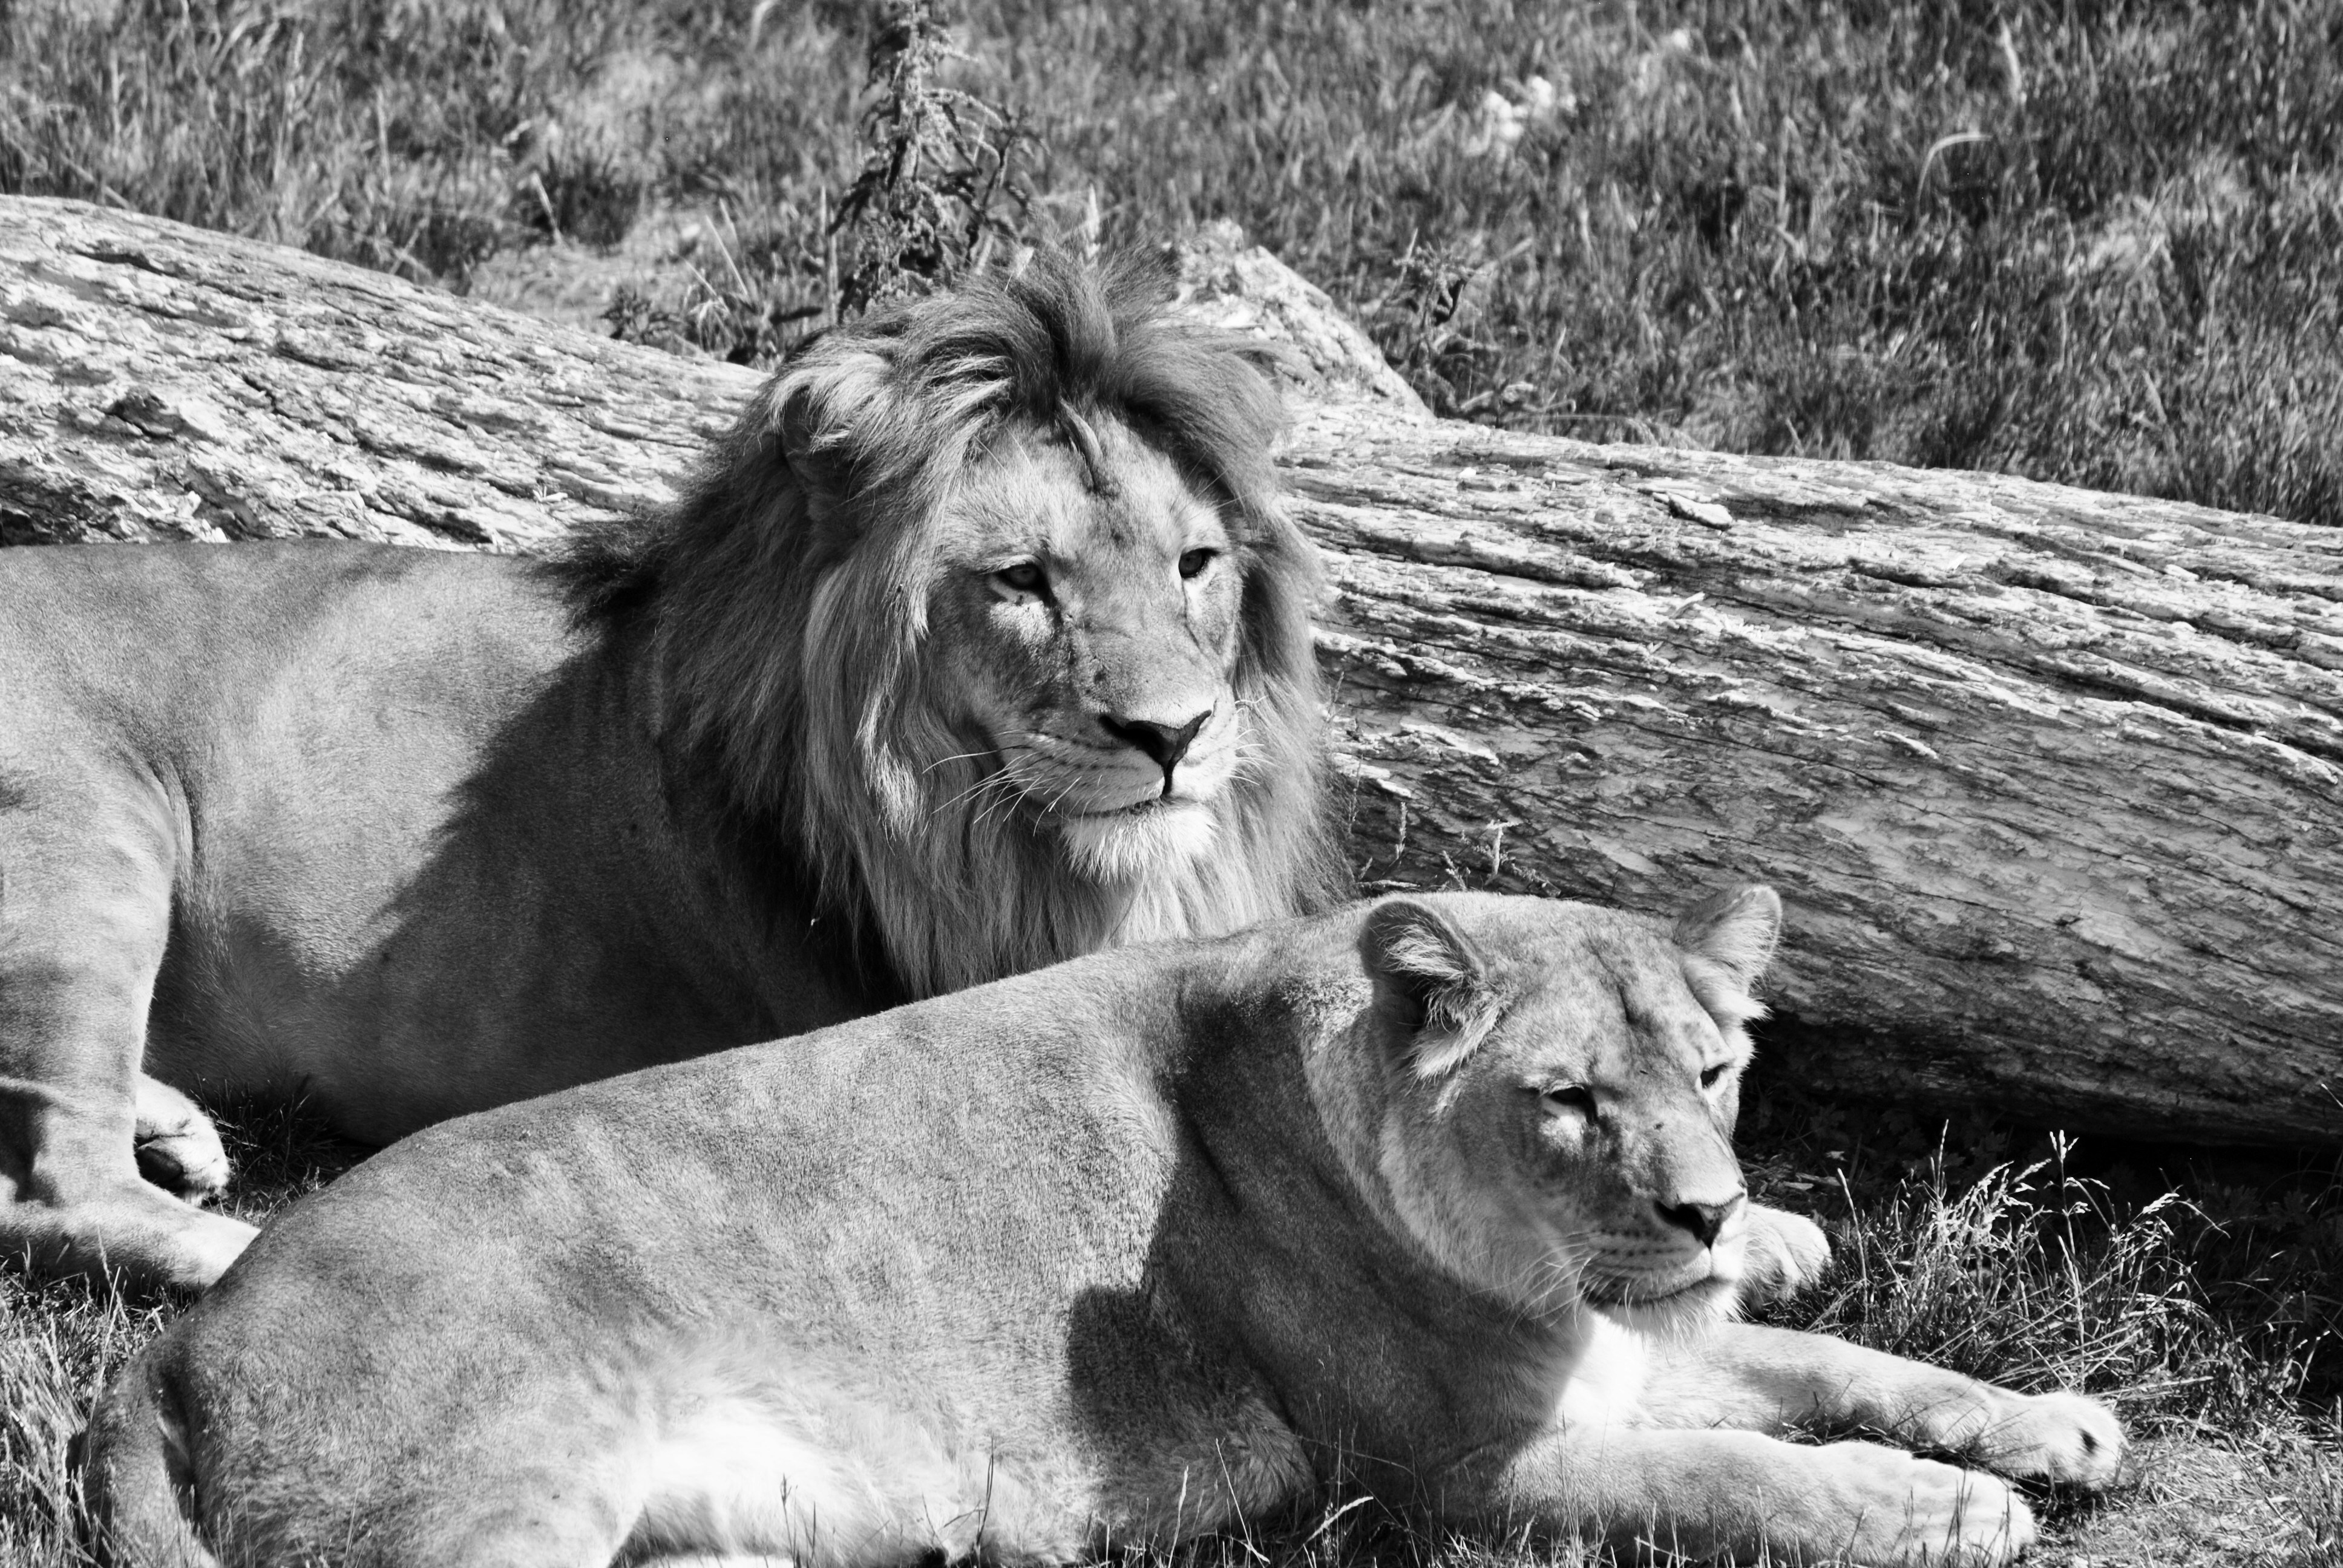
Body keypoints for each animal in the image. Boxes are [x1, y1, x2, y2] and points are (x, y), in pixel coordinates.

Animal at [0, 251, 1339, 1294]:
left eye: (1194, 565)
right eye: (1021, 579)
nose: (1174, 736)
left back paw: (175, 1126)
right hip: (87, 842)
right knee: (53, 1191)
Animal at [81, 887, 2121, 1568]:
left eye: (1714, 1070)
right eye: (1570, 1102)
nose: (1709, 1207)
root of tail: (180, 1349)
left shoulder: (1623, 1350)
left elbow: (1832, 1363)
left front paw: (2044, 1426)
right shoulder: (1453, 1472)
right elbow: (1740, 1476)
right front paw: (1946, 1512)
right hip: (495, 1502)